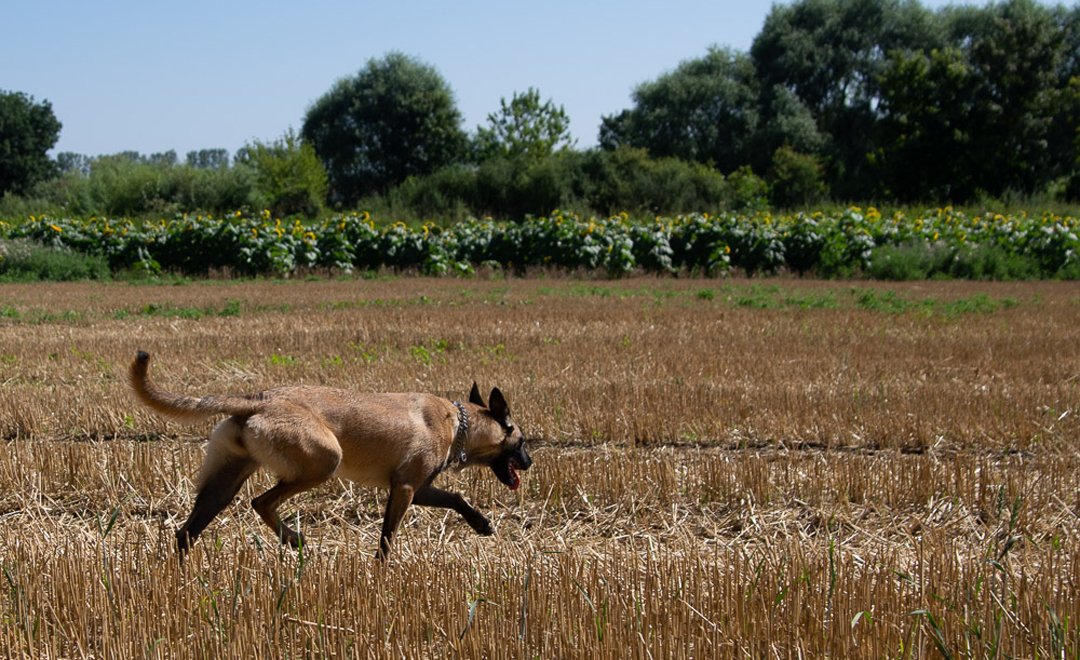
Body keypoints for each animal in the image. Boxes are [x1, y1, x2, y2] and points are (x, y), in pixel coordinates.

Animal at [128, 347, 533, 561]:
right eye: (522, 440)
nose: (529, 463)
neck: (458, 421)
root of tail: (258, 399)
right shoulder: (405, 489)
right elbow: (388, 536)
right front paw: (382, 570)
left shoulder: (418, 488)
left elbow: (457, 498)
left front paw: (481, 524)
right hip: (323, 461)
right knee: (261, 502)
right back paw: (293, 539)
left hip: (224, 481)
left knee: (187, 531)